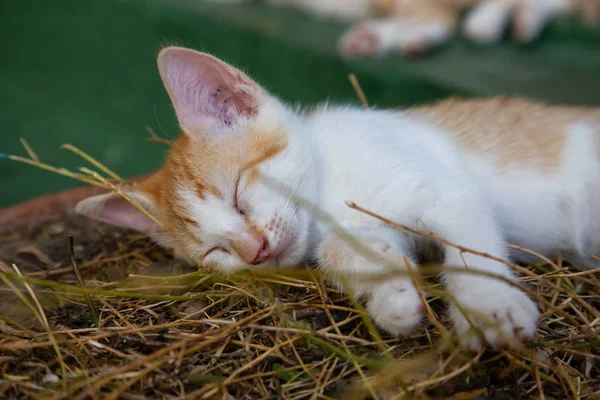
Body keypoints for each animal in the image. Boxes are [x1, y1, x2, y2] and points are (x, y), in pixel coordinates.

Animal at [75, 47, 600, 350]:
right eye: (215, 252)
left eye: (239, 194)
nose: (255, 251)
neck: (328, 195)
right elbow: (339, 252)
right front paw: (392, 296)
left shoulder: (447, 192)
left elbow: (471, 251)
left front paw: (488, 306)